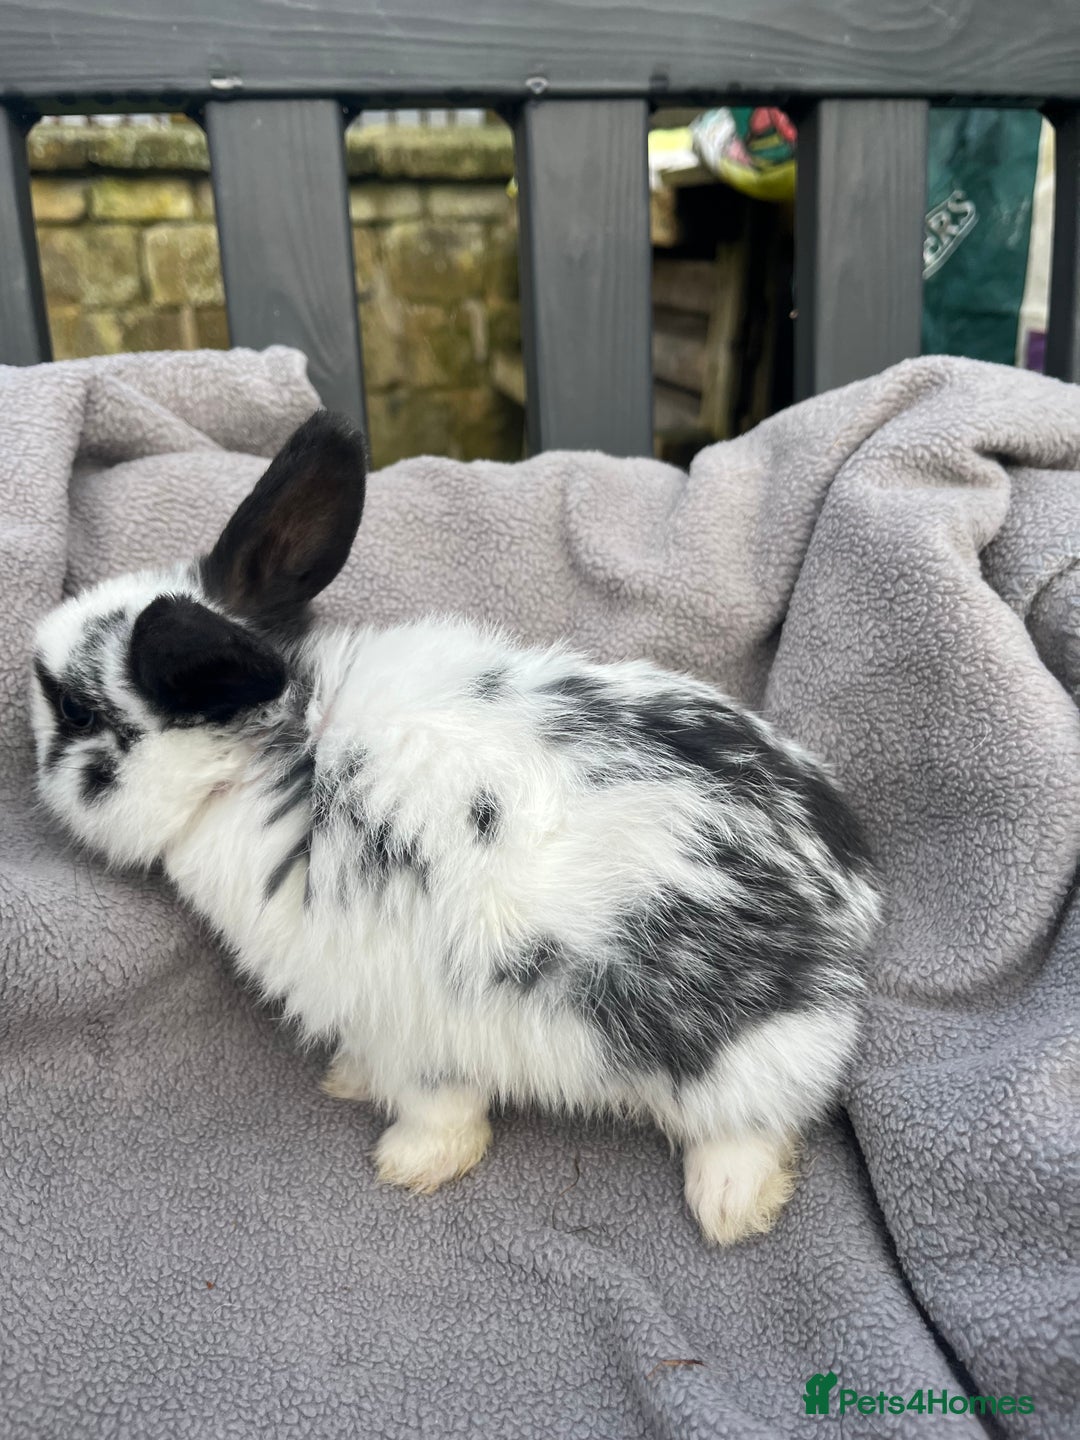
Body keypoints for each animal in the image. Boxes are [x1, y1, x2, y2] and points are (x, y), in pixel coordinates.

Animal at [30, 409, 883, 1246]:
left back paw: (731, 1208)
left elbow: (438, 1106)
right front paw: (349, 1081)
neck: (268, 752)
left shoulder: (405, 1016)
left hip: (726, 1048)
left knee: (757, 1118)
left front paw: (409, 1165)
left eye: (74, 711)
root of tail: (847, 902)